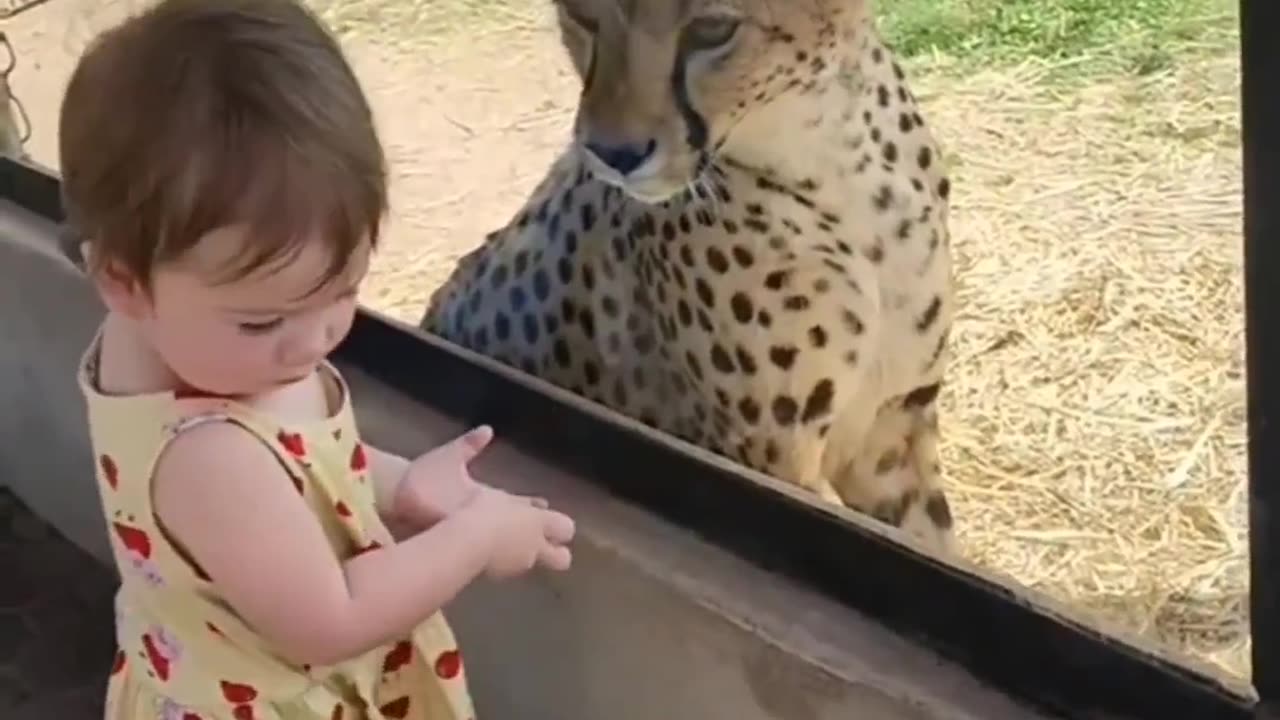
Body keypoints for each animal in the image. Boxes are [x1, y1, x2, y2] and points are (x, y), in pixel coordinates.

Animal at [424, 0, 957, 556]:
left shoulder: (893, 426)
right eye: (582, 14)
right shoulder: (772, 459)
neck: (833, 159)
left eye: (713, 28)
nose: (614, 153)